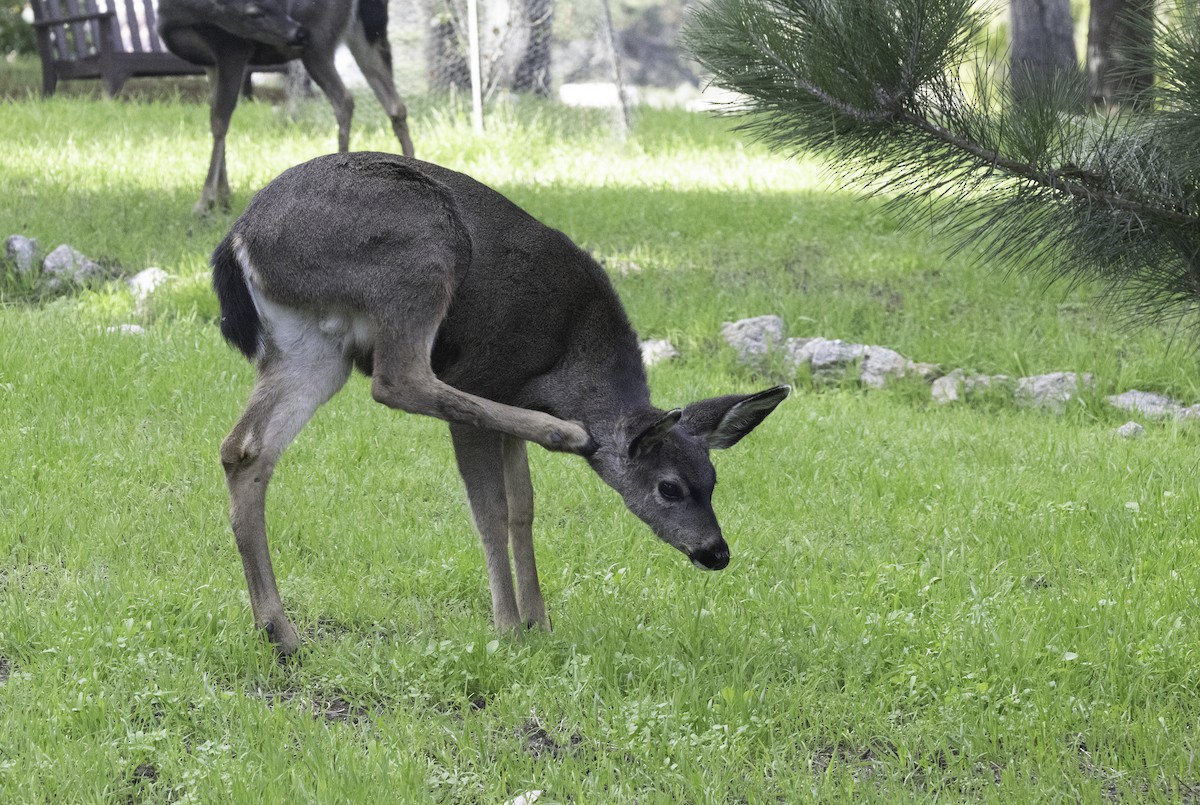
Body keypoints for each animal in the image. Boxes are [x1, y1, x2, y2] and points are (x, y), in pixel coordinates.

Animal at [157, 0, 414, 214]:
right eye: (255, 11)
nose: (298, 32)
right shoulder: (210, 62)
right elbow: (217, 118)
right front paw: (223, 197)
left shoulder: (232, 48)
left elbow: (219, 120)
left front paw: (206, 201)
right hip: (368, 38)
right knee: (396, 105)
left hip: (318, 41)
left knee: (344, 99)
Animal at [212, 152, 791, 655]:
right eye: (669, 487)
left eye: (713, 480)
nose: (716, 552)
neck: (568, 358)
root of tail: (239, 239)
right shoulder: (488, 375)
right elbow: (490, 509)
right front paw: (510, 626)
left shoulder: (510, 400)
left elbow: (523, 507)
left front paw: (539, 620)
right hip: (420, 250)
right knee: (397, 380)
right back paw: (566, 434)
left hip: (312, 344)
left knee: (244, 448)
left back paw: (279, 631)